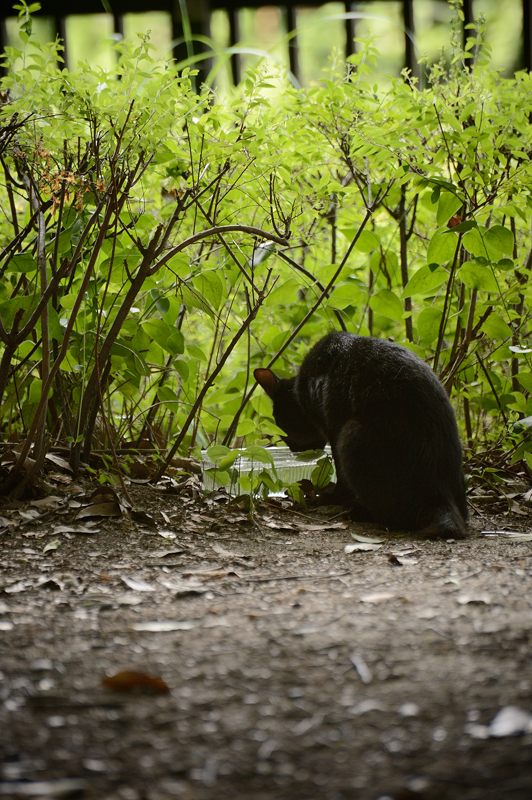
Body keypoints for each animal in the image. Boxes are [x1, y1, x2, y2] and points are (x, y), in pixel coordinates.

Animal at [254, 332, 466, 536]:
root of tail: (441, 496)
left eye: (283, 431)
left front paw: (330, 497)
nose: (292, 449)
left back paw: (360, 512)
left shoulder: (334, 430)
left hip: (351, 435)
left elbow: (341, 478)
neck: (301, 389)